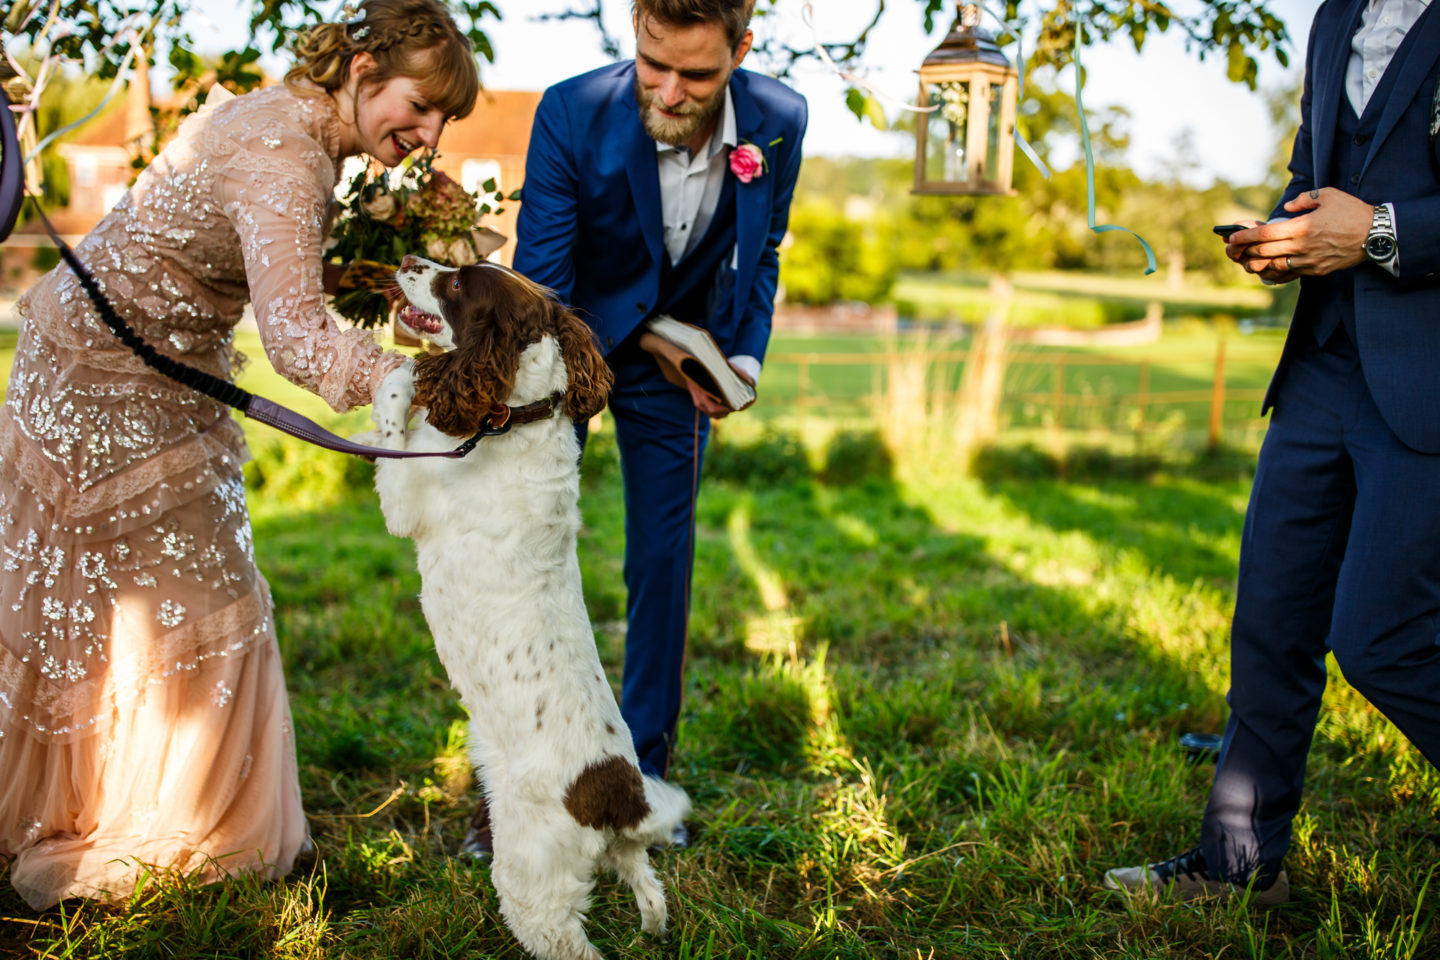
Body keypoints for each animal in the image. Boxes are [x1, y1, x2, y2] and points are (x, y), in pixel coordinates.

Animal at [365, 254, 691, 960]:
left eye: (458, 282)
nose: (408, 260)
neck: (517, 418)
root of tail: (621, 799)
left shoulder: (406, 499)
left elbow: (391, 426)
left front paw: (399, 376)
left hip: (528, 875)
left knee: (566, 939)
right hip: (622, 854)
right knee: (649, 888)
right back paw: (654, 931)